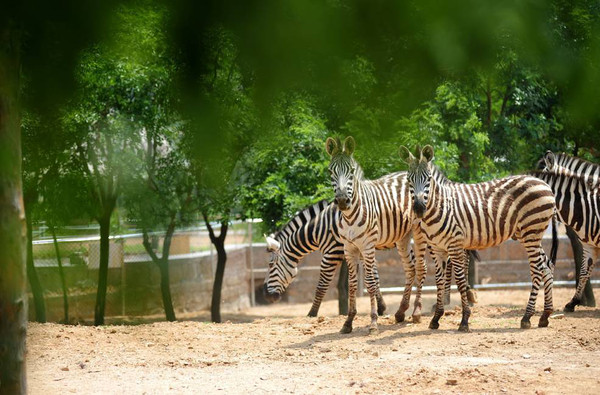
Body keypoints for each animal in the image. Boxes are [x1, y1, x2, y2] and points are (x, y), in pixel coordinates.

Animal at [262, 200, 390, 318]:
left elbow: (321, 286)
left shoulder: (331, 253)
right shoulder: (362, 249)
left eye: (270, 265)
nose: (265, 296)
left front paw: (312, 313)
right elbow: (374, 277)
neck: (317, 231)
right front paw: (381, 308)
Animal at [326, 136, 428, 334]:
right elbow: (352, 283)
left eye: (351, 171)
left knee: (421, 267)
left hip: (418, 232)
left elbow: (371, 282)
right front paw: (348, 321)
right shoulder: (349, 248)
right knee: (410, 268)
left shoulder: (367, 246)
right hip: (402, 237)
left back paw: (417, 312)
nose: (342, 201)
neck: (350, 216)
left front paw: (373, 322)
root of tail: (405, 172)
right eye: (330, 171)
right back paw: (401, 311)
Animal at [398, 145, 556, 332]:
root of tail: (545, 184)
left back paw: (527, 317)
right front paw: (436, 318)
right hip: (531, 234)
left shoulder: (455, 245)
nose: (419, 208)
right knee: (547, 266)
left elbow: (460, 280)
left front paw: (464, 320)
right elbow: (439, 281)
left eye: (428, 179)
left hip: (531, 231)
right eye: (409, 180)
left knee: (537, 269)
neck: (441, 206)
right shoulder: (437, 248)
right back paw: (545, 316)